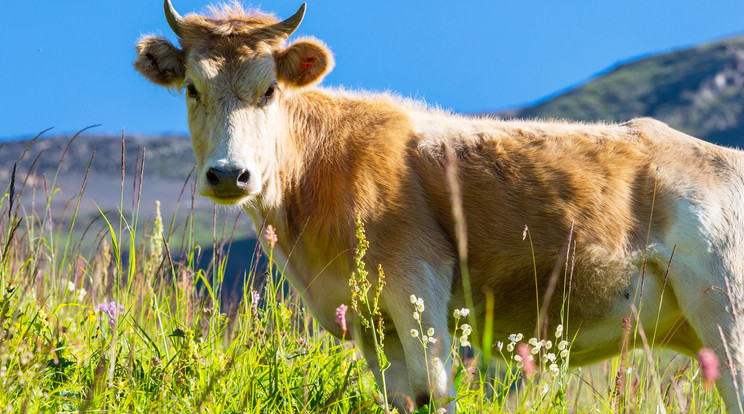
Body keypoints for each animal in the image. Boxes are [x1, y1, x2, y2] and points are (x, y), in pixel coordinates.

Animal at [134, 1, 744, 412]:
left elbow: (433, 390)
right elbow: (400, 397)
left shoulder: (416, 285)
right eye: (191, 87)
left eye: (269, 91)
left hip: (726, 310)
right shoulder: (366, 316)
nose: (228, 174)